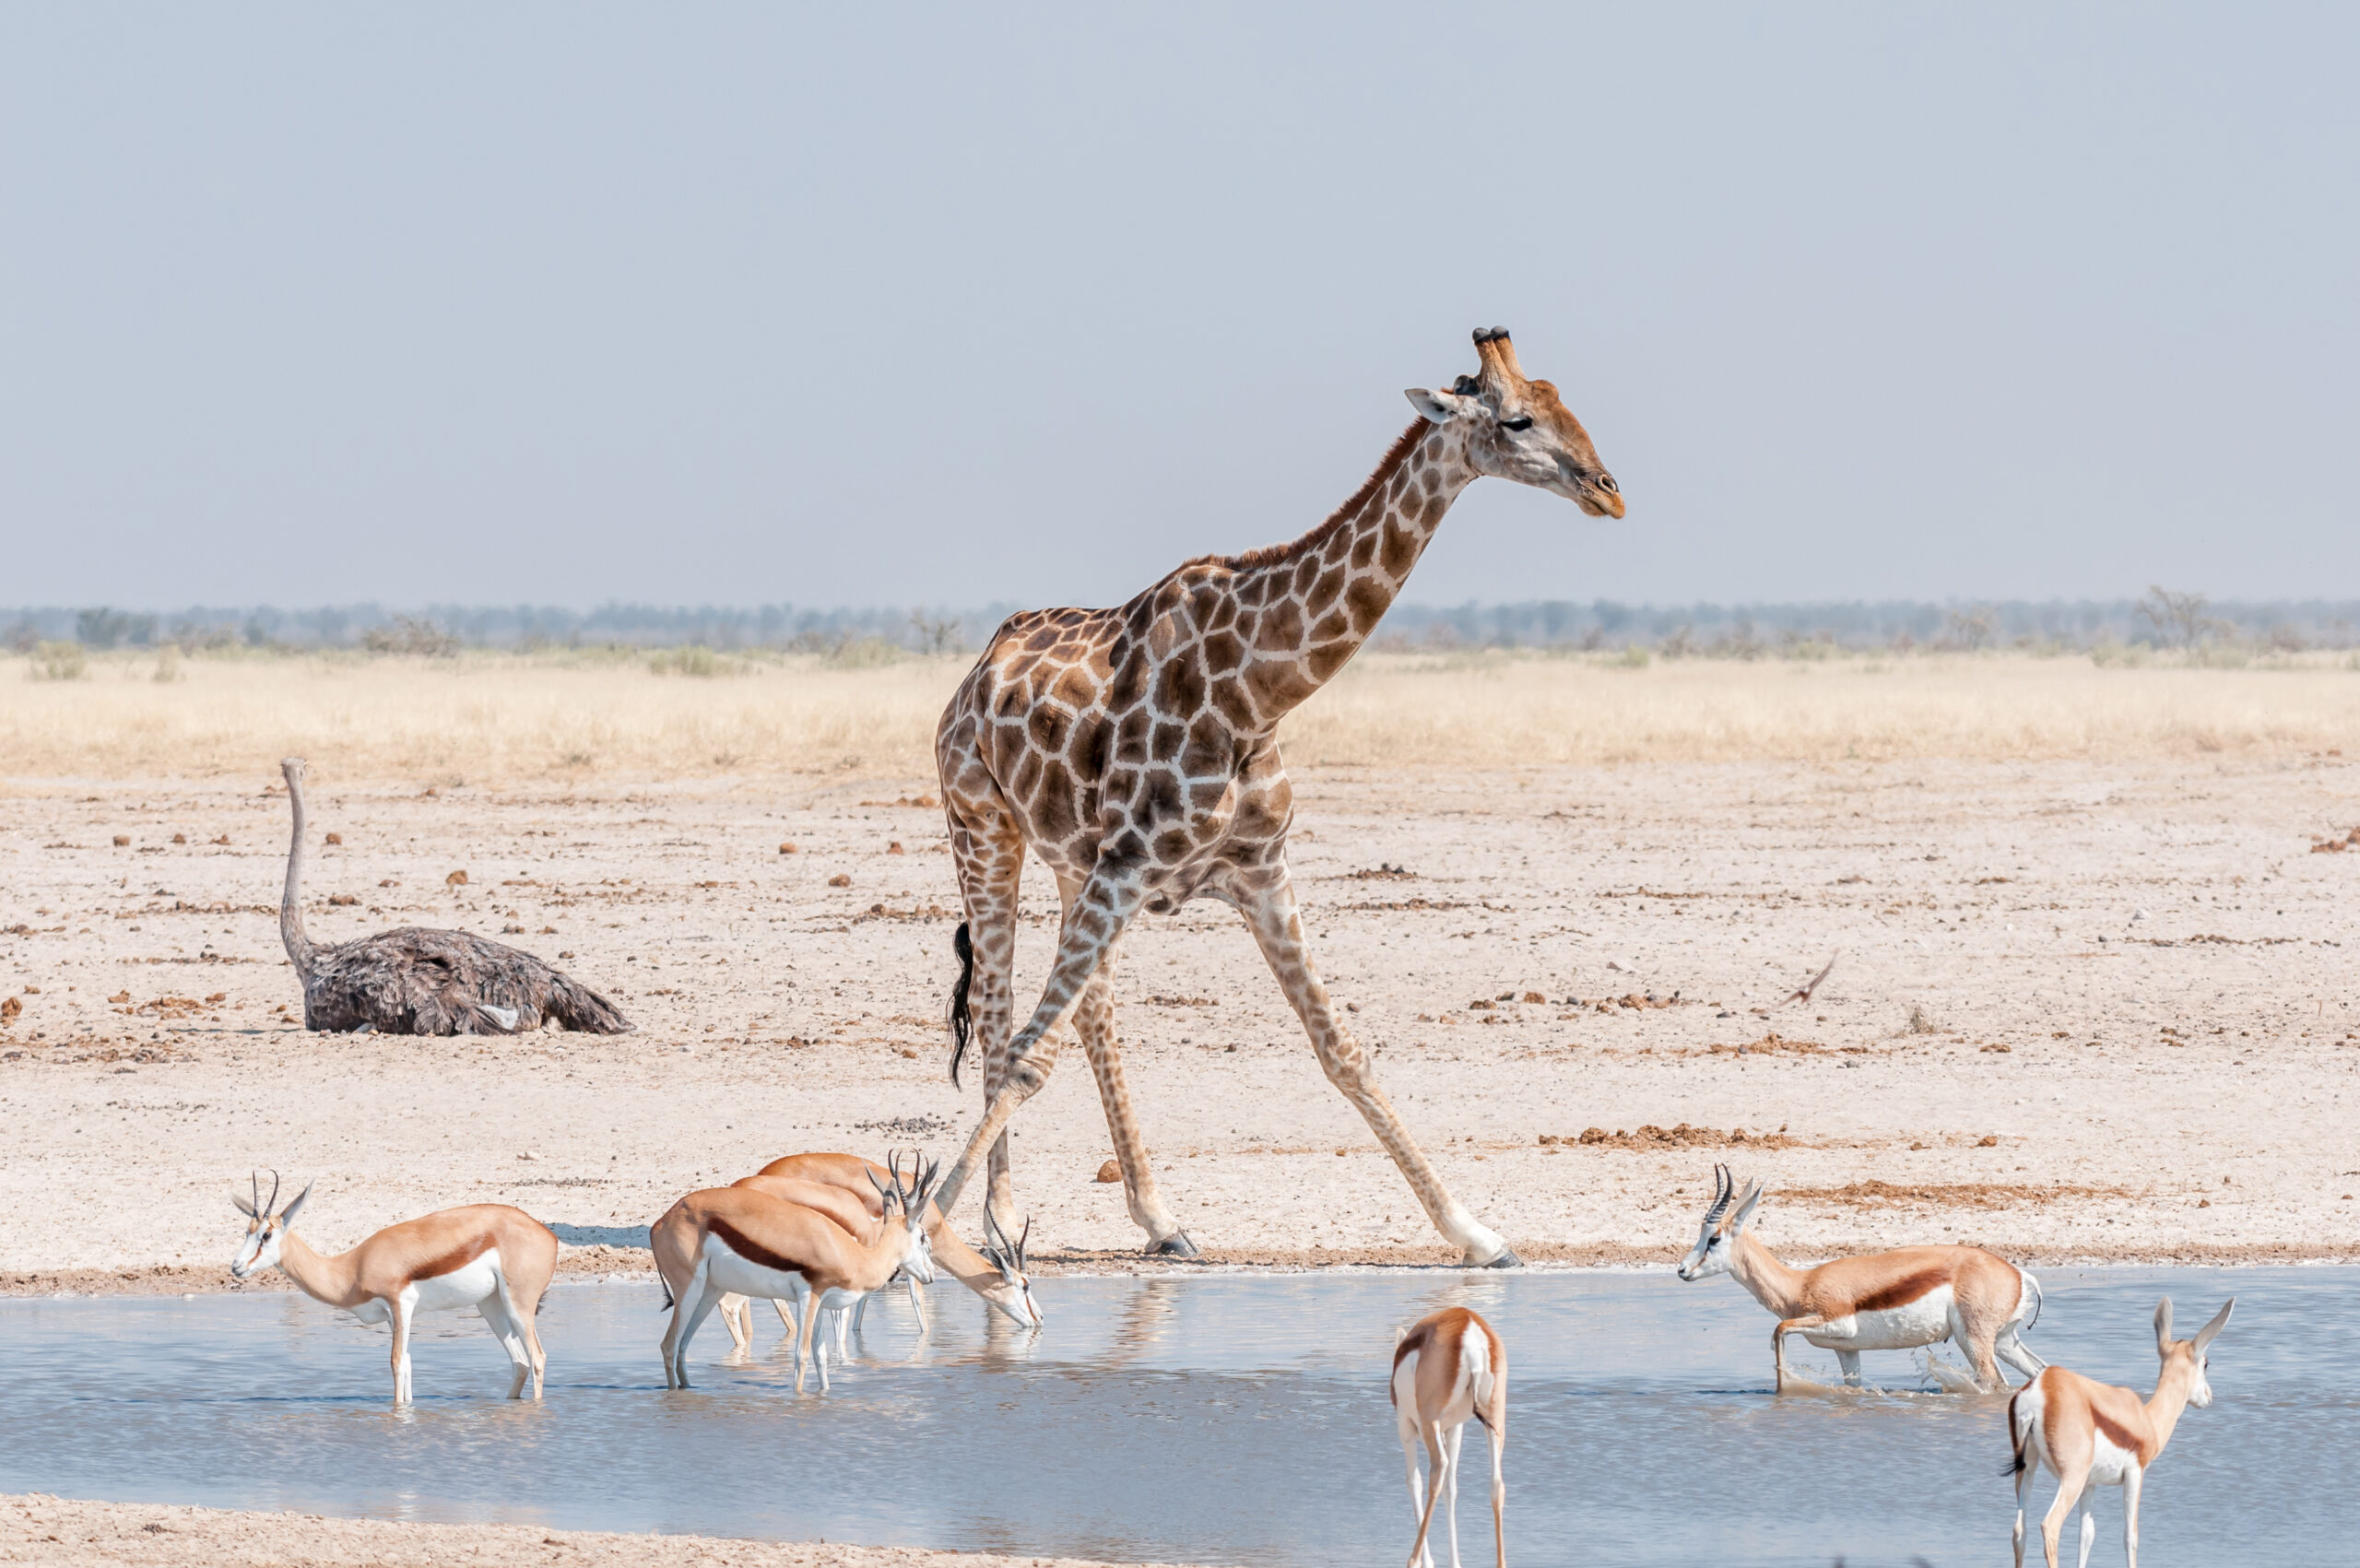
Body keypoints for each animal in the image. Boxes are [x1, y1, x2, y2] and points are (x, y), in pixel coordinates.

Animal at [929, 328, 1614, 1266]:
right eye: (1517, 419)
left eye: (1562, 401)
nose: (1608, 490)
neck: (1256, 691)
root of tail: (972, 678)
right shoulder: (1129, 869)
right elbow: (1030, 1054)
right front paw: (924, 1228)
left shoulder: (1257, 869)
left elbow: (1343, 1049)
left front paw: (1476, 1232)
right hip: (984, 825)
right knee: (1001, 1011)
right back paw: (1000, 1221)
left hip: (1072, 858)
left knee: (1091, 1011)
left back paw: (1161, 1219)